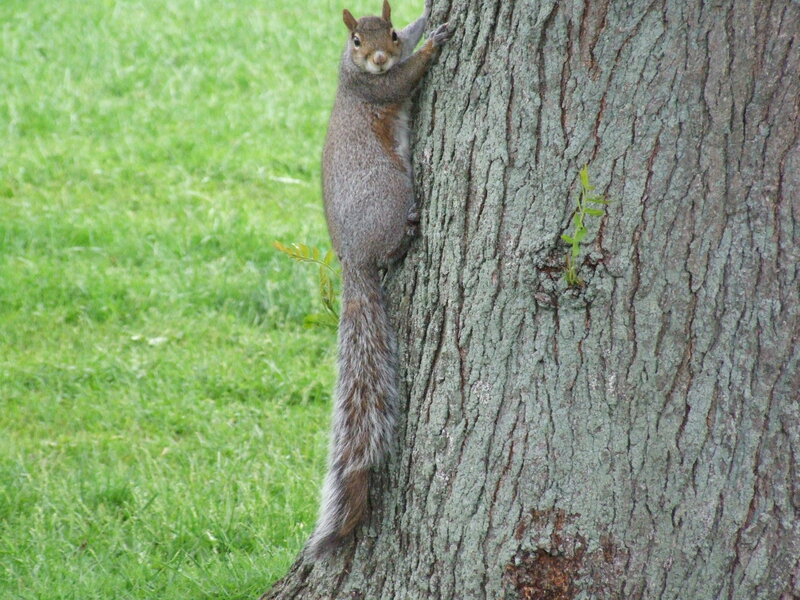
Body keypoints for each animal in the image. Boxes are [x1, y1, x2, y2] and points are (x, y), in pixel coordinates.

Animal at [307, 1, 454, 557]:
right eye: (354, 41)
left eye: (388, 32)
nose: (375, 58)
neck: (357, 72)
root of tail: (352, 259)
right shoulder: (377, 88)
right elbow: (404, 79)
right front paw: (434, 44)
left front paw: (426, 20)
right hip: (390, 192)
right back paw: (410, 231)